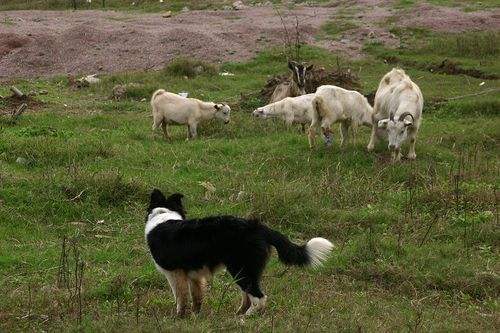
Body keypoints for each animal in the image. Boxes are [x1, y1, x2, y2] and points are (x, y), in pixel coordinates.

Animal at [144, 188, 332, 316]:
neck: (163, 215)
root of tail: (257, 227)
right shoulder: (194, 276)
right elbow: (197, 297)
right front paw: (196, 316)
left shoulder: (174, 273)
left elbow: (180, 298)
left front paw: (179, 316)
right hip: (244, 271)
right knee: (247, 296)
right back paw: (239, 314)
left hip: (240, 269)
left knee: (259, 297)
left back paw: (247, 317)